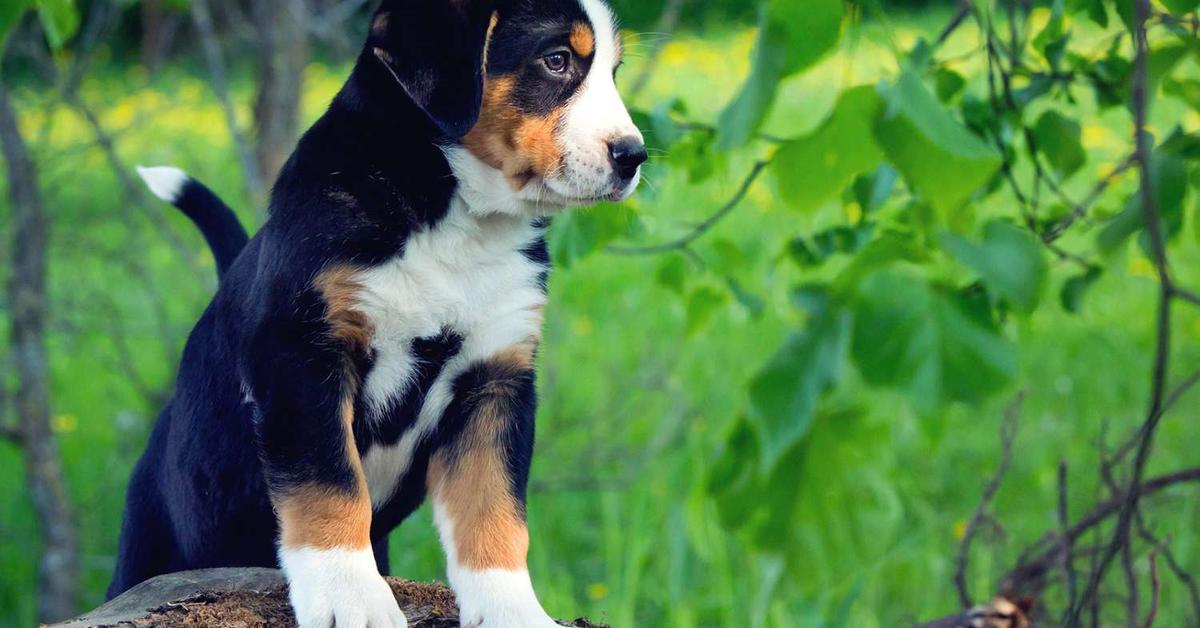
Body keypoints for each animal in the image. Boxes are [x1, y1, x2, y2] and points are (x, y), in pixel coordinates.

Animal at [110, 1, 648, 628]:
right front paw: (350, 599)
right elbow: (330, 486)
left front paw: (513, 610)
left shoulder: (495, 378)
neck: (454, 221)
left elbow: (493, 510)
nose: (633, 156)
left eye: (612, 70)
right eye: (557, 59)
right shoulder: (304, 359)